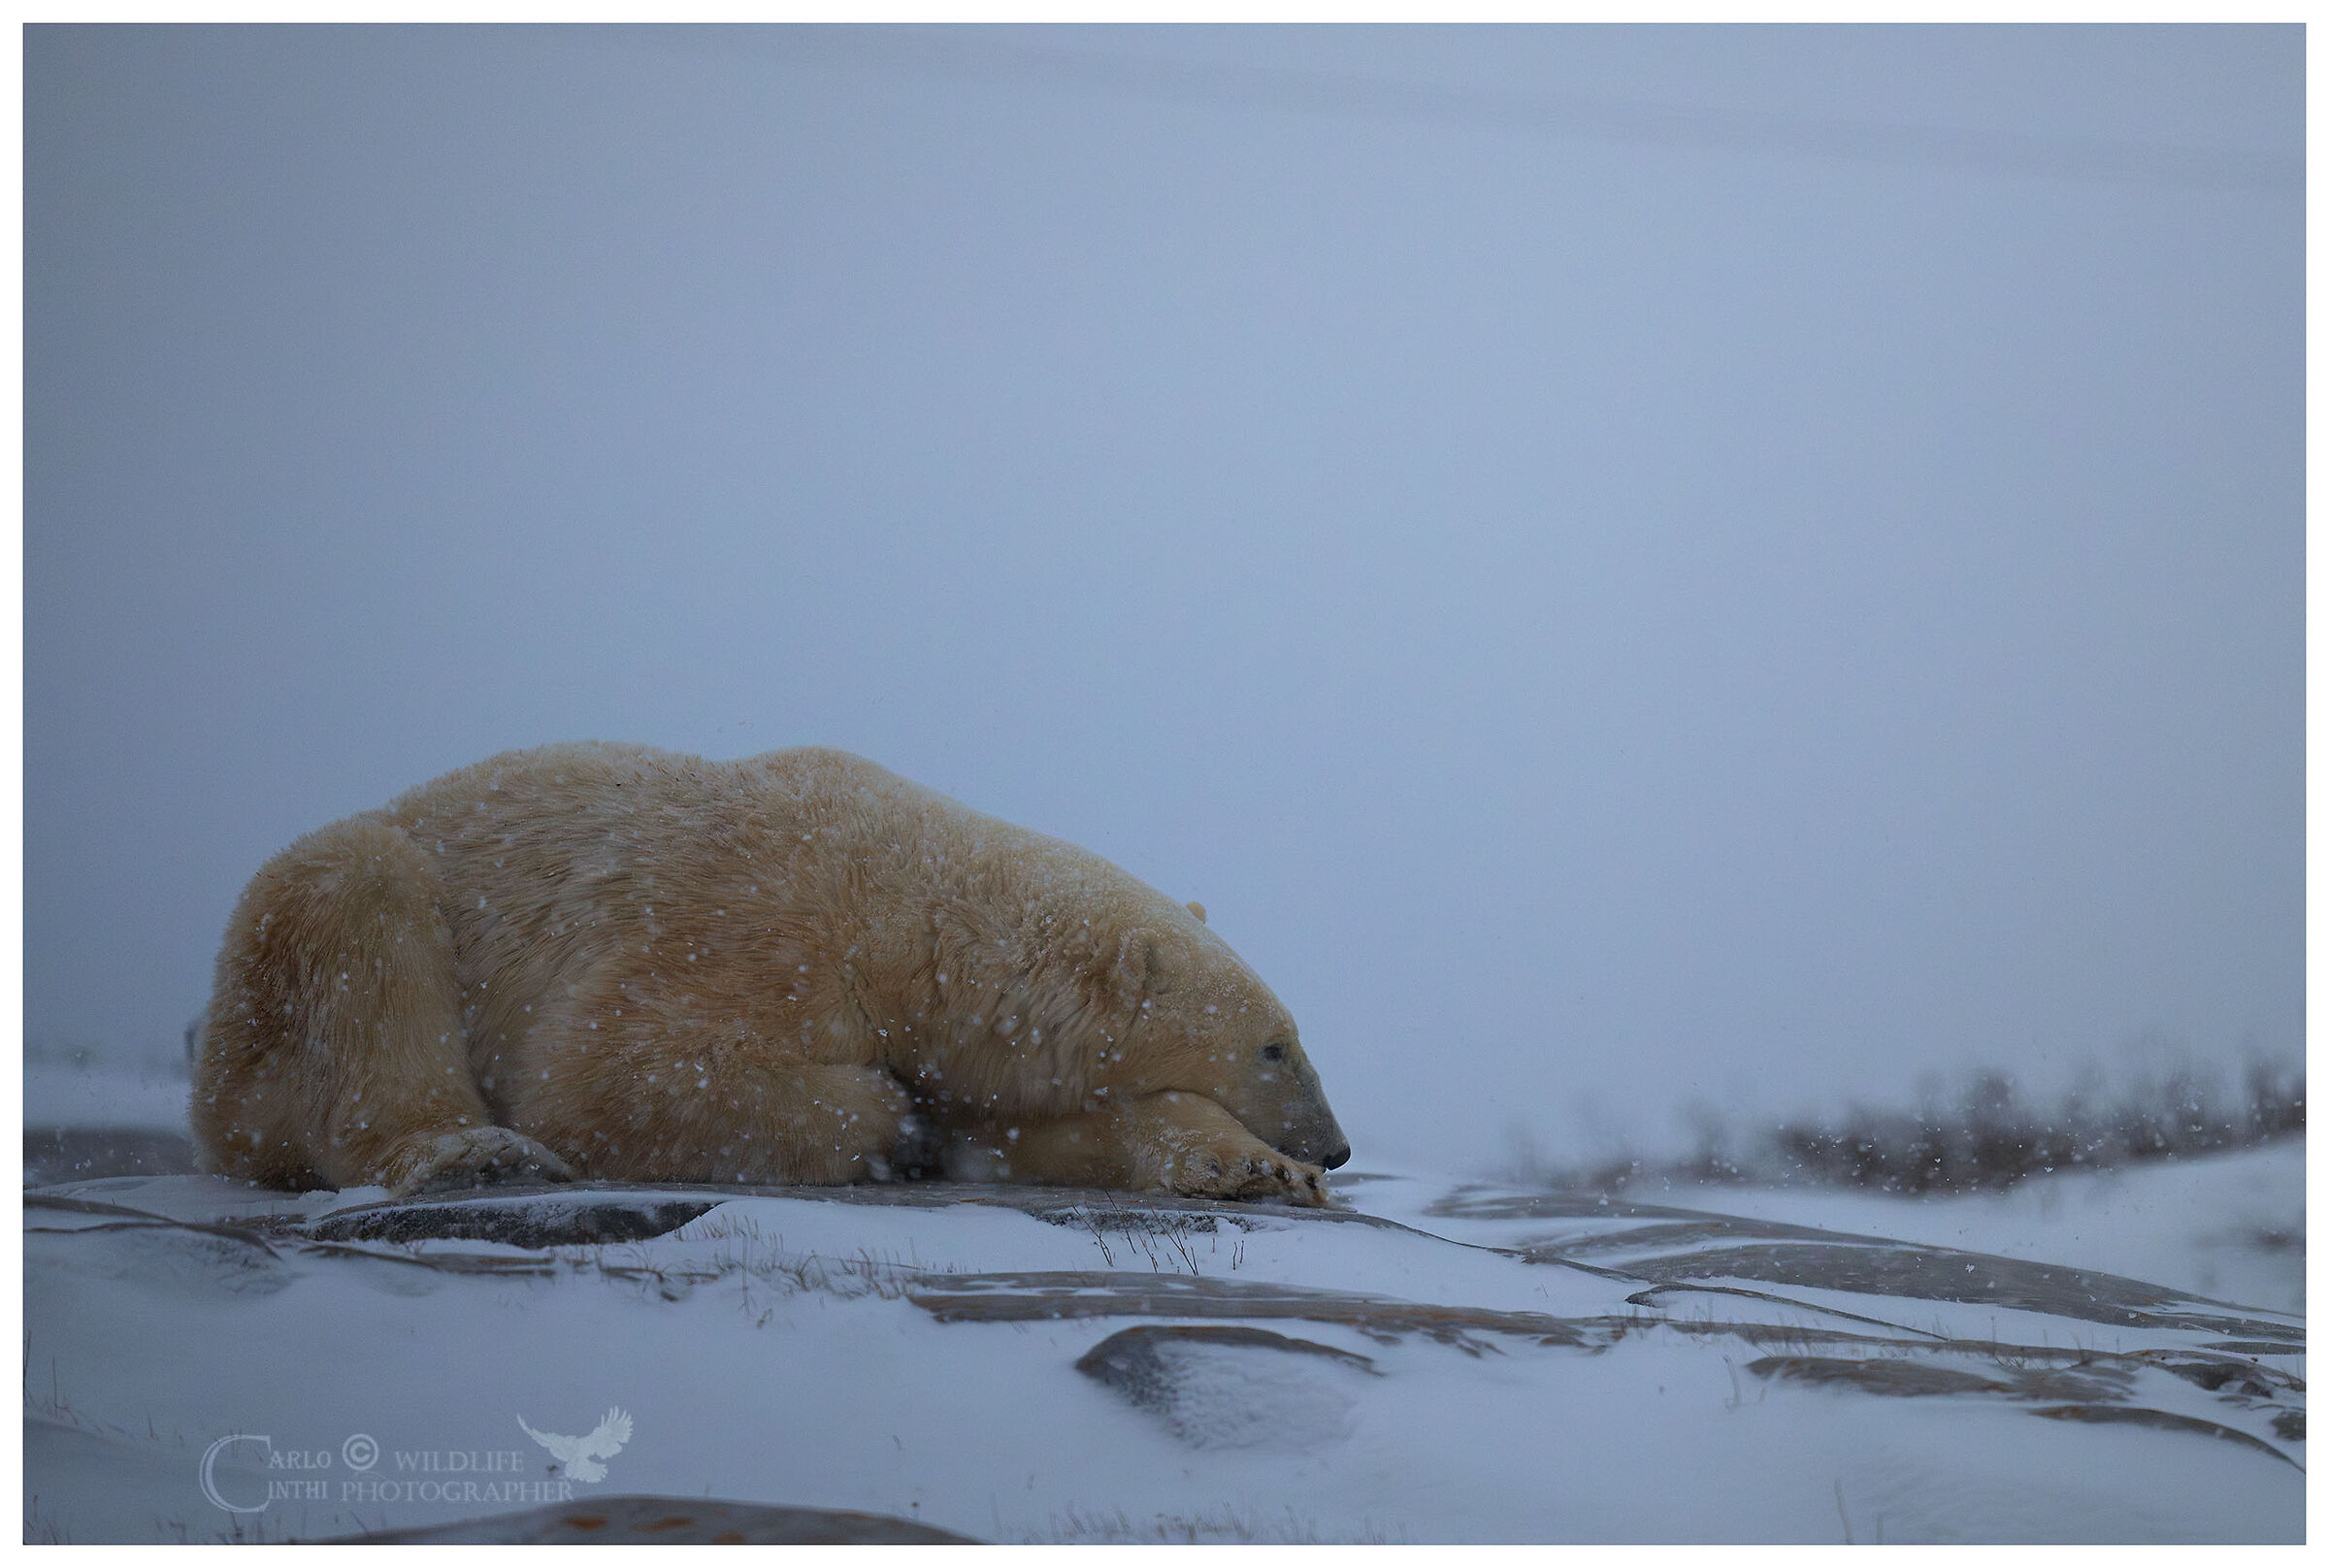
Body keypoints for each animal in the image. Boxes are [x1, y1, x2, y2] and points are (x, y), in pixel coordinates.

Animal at [190, 743, 1348, 1206]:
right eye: (1274, 1044)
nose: (1334, 1143)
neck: (908, 914)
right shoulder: (752, 927)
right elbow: (611, 1071)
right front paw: (896, 1126)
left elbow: (1050, 1132)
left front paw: (1255, 1169)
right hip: (296, 946)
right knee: (362, 907)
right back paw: (475, 1151)